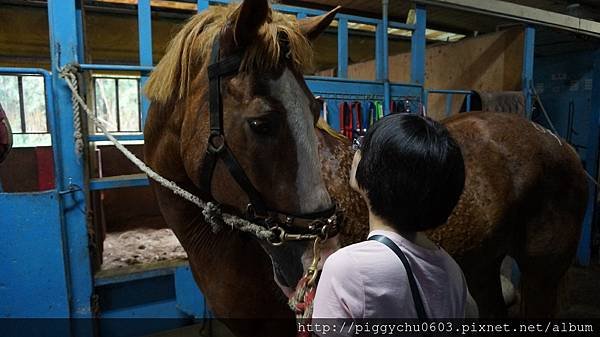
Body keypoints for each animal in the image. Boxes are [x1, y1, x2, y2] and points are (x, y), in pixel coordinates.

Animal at [144, 1, 584, 334]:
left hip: (542, 275)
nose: (317, 256)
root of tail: (557, 143)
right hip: (482, 266)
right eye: (261, 123)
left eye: (315, 109)